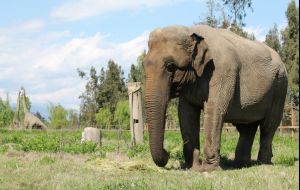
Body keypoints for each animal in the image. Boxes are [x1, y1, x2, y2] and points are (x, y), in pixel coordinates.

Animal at [144, 24, 288, 171]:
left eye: (170, 66)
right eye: (143, 65)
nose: (167, 153)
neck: (191, 30)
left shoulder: (221, 71)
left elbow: (215, 111)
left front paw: (208, 170)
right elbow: (186, 114)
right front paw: (192, 168)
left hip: (280, 86)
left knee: (268, 126)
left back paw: (263, 163)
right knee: (247, 128)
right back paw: (242, 165)